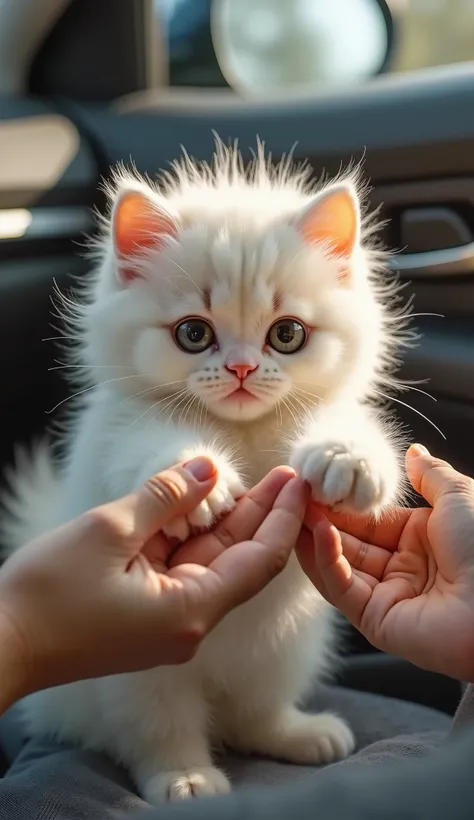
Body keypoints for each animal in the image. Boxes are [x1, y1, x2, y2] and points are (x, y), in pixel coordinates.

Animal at [0, 141, 408, 800]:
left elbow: (354, 430)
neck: (240, 432)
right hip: (140, 667)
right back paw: (185, 776)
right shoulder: (122, 433)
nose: (242, 369)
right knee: (154, 728)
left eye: (287, 335)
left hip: (285, 648)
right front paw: (197, 485)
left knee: (250, 715)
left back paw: (297, 735)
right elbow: (154, 445)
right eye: (194, 333)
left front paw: (346, 460)